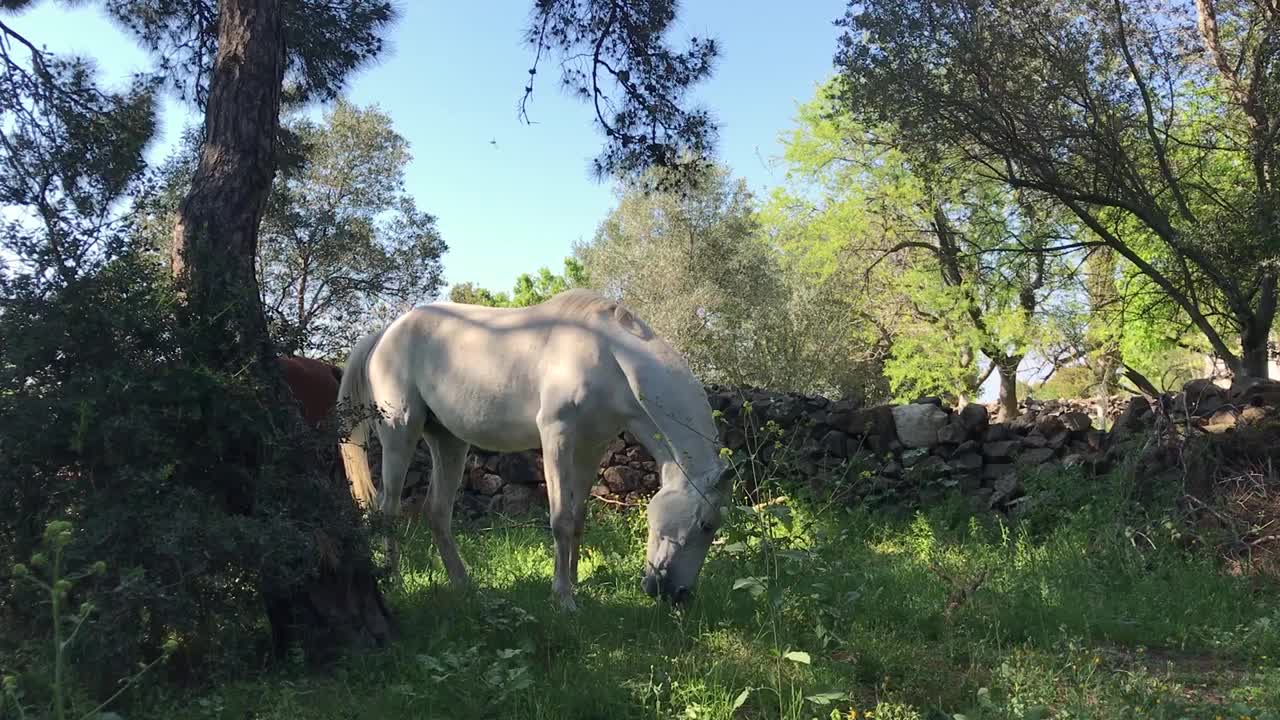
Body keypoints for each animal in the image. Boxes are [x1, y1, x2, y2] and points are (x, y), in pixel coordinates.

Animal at [335, 285, 727, 604]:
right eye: (706, 524)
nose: (677, 595)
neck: (608, 356)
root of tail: (386, 333)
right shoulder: (557, 437)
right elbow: (561, 519)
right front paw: (563, 599)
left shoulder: (592, 447)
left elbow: (578, 516)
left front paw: (575, 584)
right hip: (399, 432)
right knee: (388, 509)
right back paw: (397, 582)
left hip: (449, 442)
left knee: (437, 511)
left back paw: (463, 585)